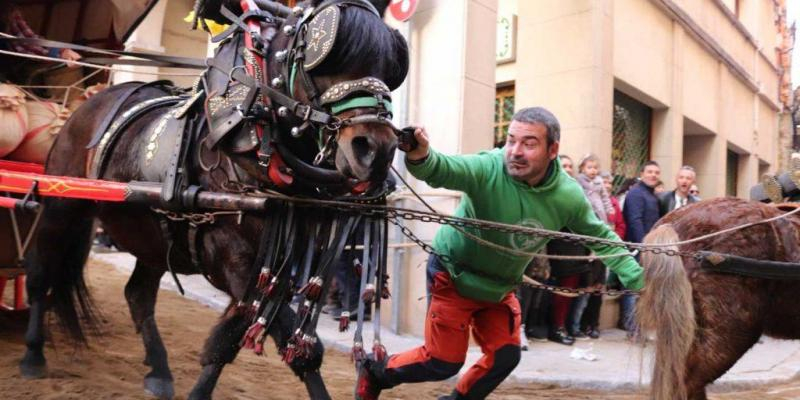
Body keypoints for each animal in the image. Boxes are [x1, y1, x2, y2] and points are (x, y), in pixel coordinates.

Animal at [20, 0, 406, 400]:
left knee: (137, 294)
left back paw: (159, 370)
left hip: (154, 234)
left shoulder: (275, 259)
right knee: (40, 272)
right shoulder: (235, 256)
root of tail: (91, 101)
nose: (376, 150)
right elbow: (282, 341)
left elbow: (244, 336)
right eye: (325, 50)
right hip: (60, 206)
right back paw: (33, 354)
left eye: (395, 64)